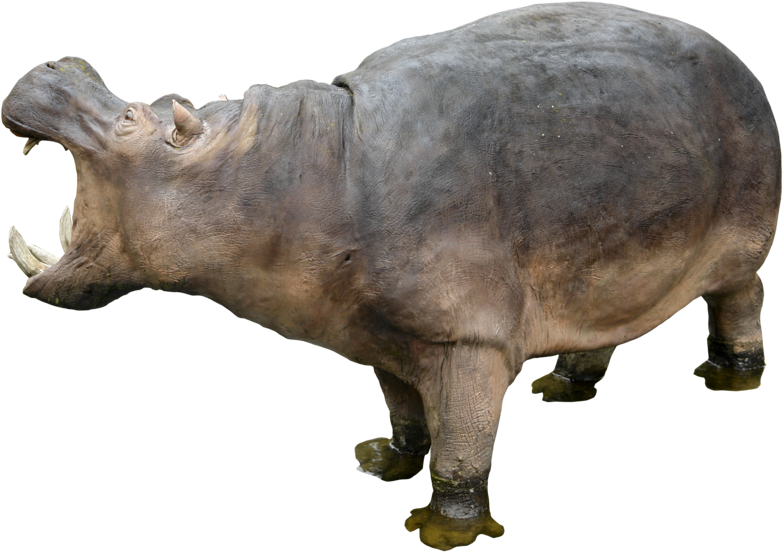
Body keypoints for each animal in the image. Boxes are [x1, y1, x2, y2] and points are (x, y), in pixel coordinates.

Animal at [3, 2, 779, 550]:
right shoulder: (374, 328)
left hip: (741, 237)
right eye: (160, 98)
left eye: (137, 116)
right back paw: (564, 388)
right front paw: (381, 462)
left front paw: (443, 531)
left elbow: (461, 448)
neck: (293, 172)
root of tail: (732, 55)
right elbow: (404, 409)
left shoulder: (468, 338)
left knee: (742, 296)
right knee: (607, 313)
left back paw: (731, 378)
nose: (62, 61)